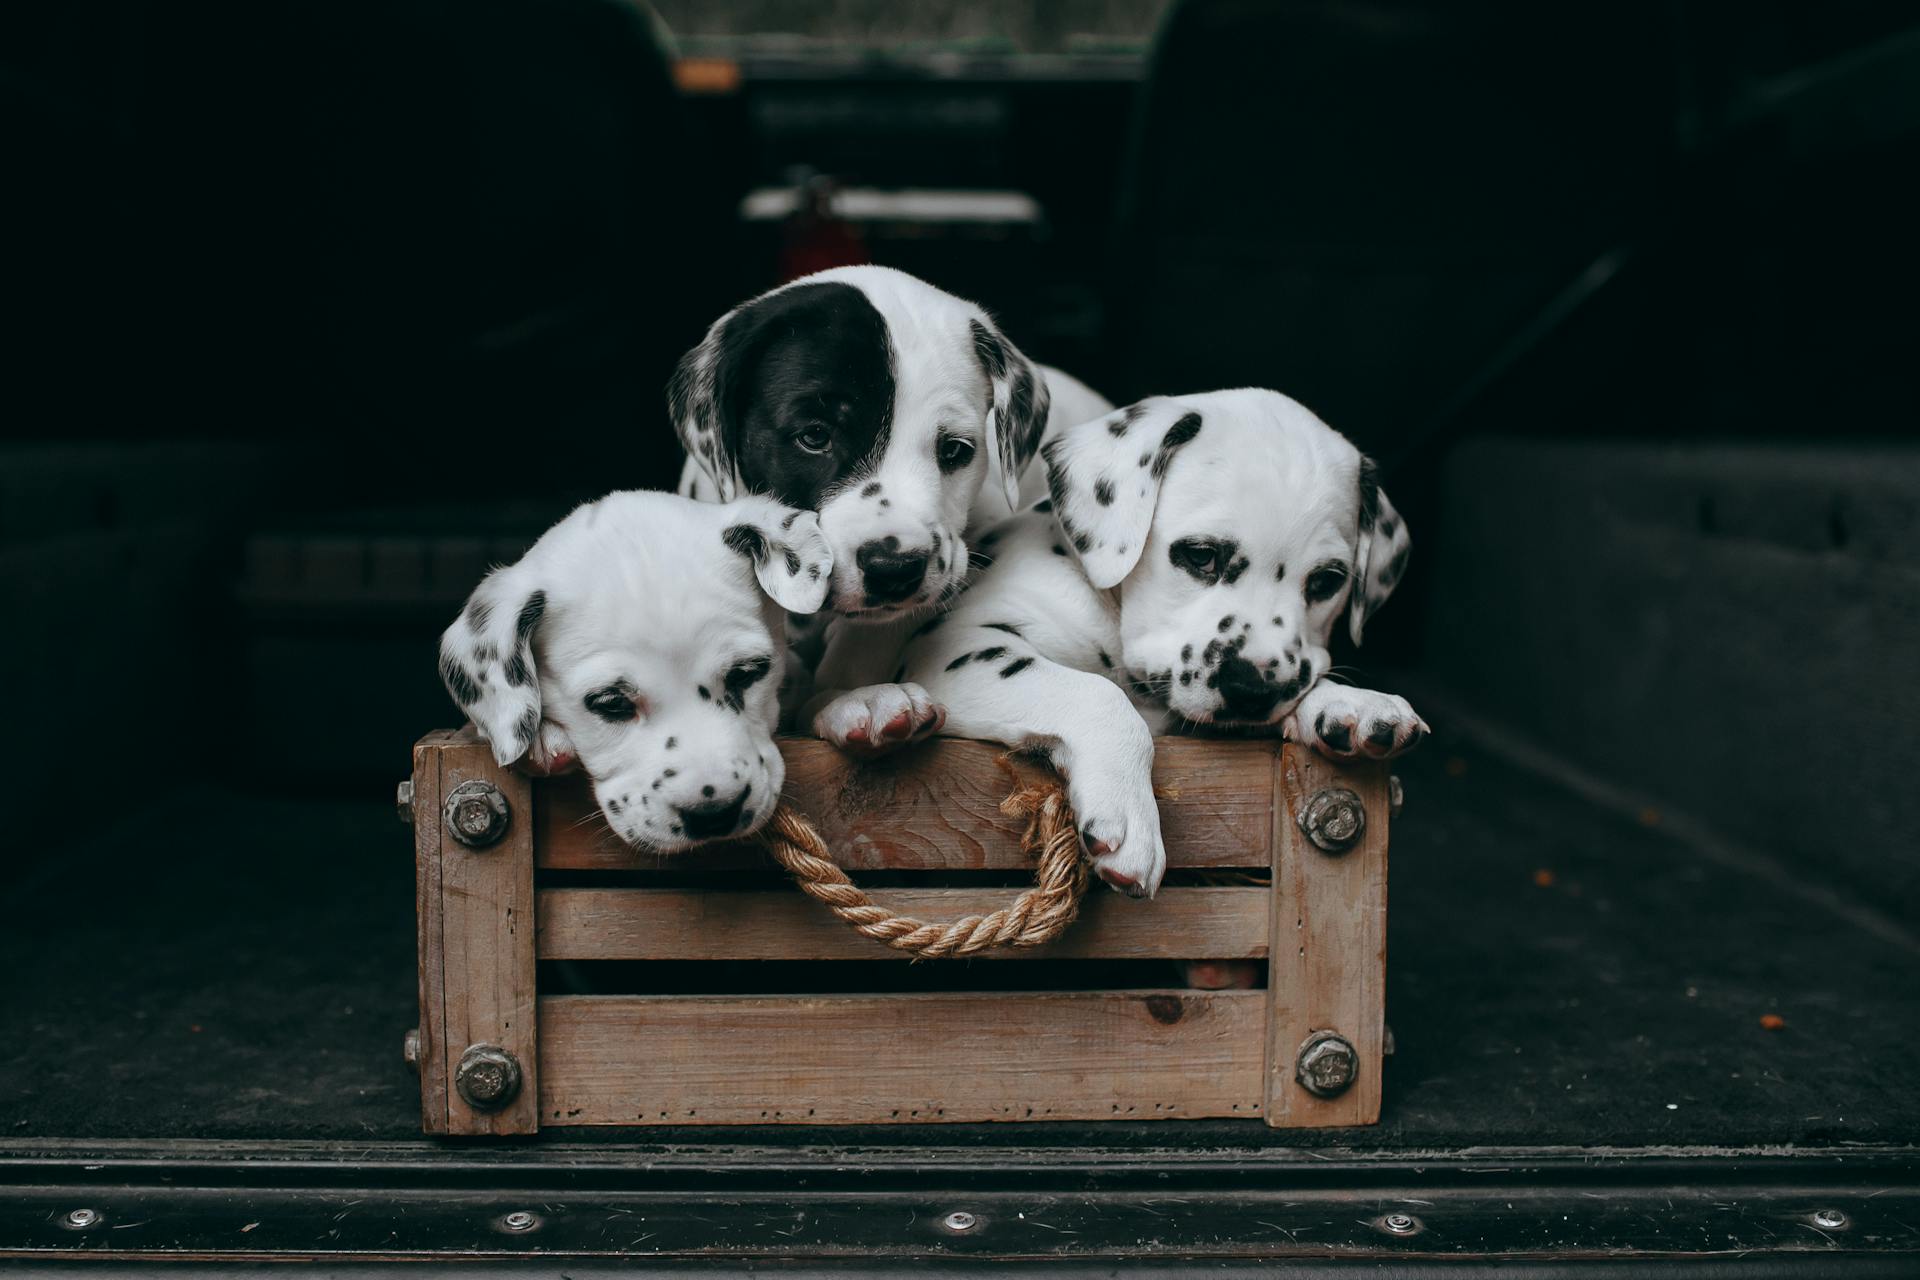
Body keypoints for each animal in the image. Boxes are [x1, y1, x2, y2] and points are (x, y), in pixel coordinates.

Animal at [898, 391, 1428, 901]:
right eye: (1201, 555)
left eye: (1327, 582)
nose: (1254, 689)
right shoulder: (956, 647)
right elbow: (1098, 693)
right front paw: (1129, 816)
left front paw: (1349, 704)